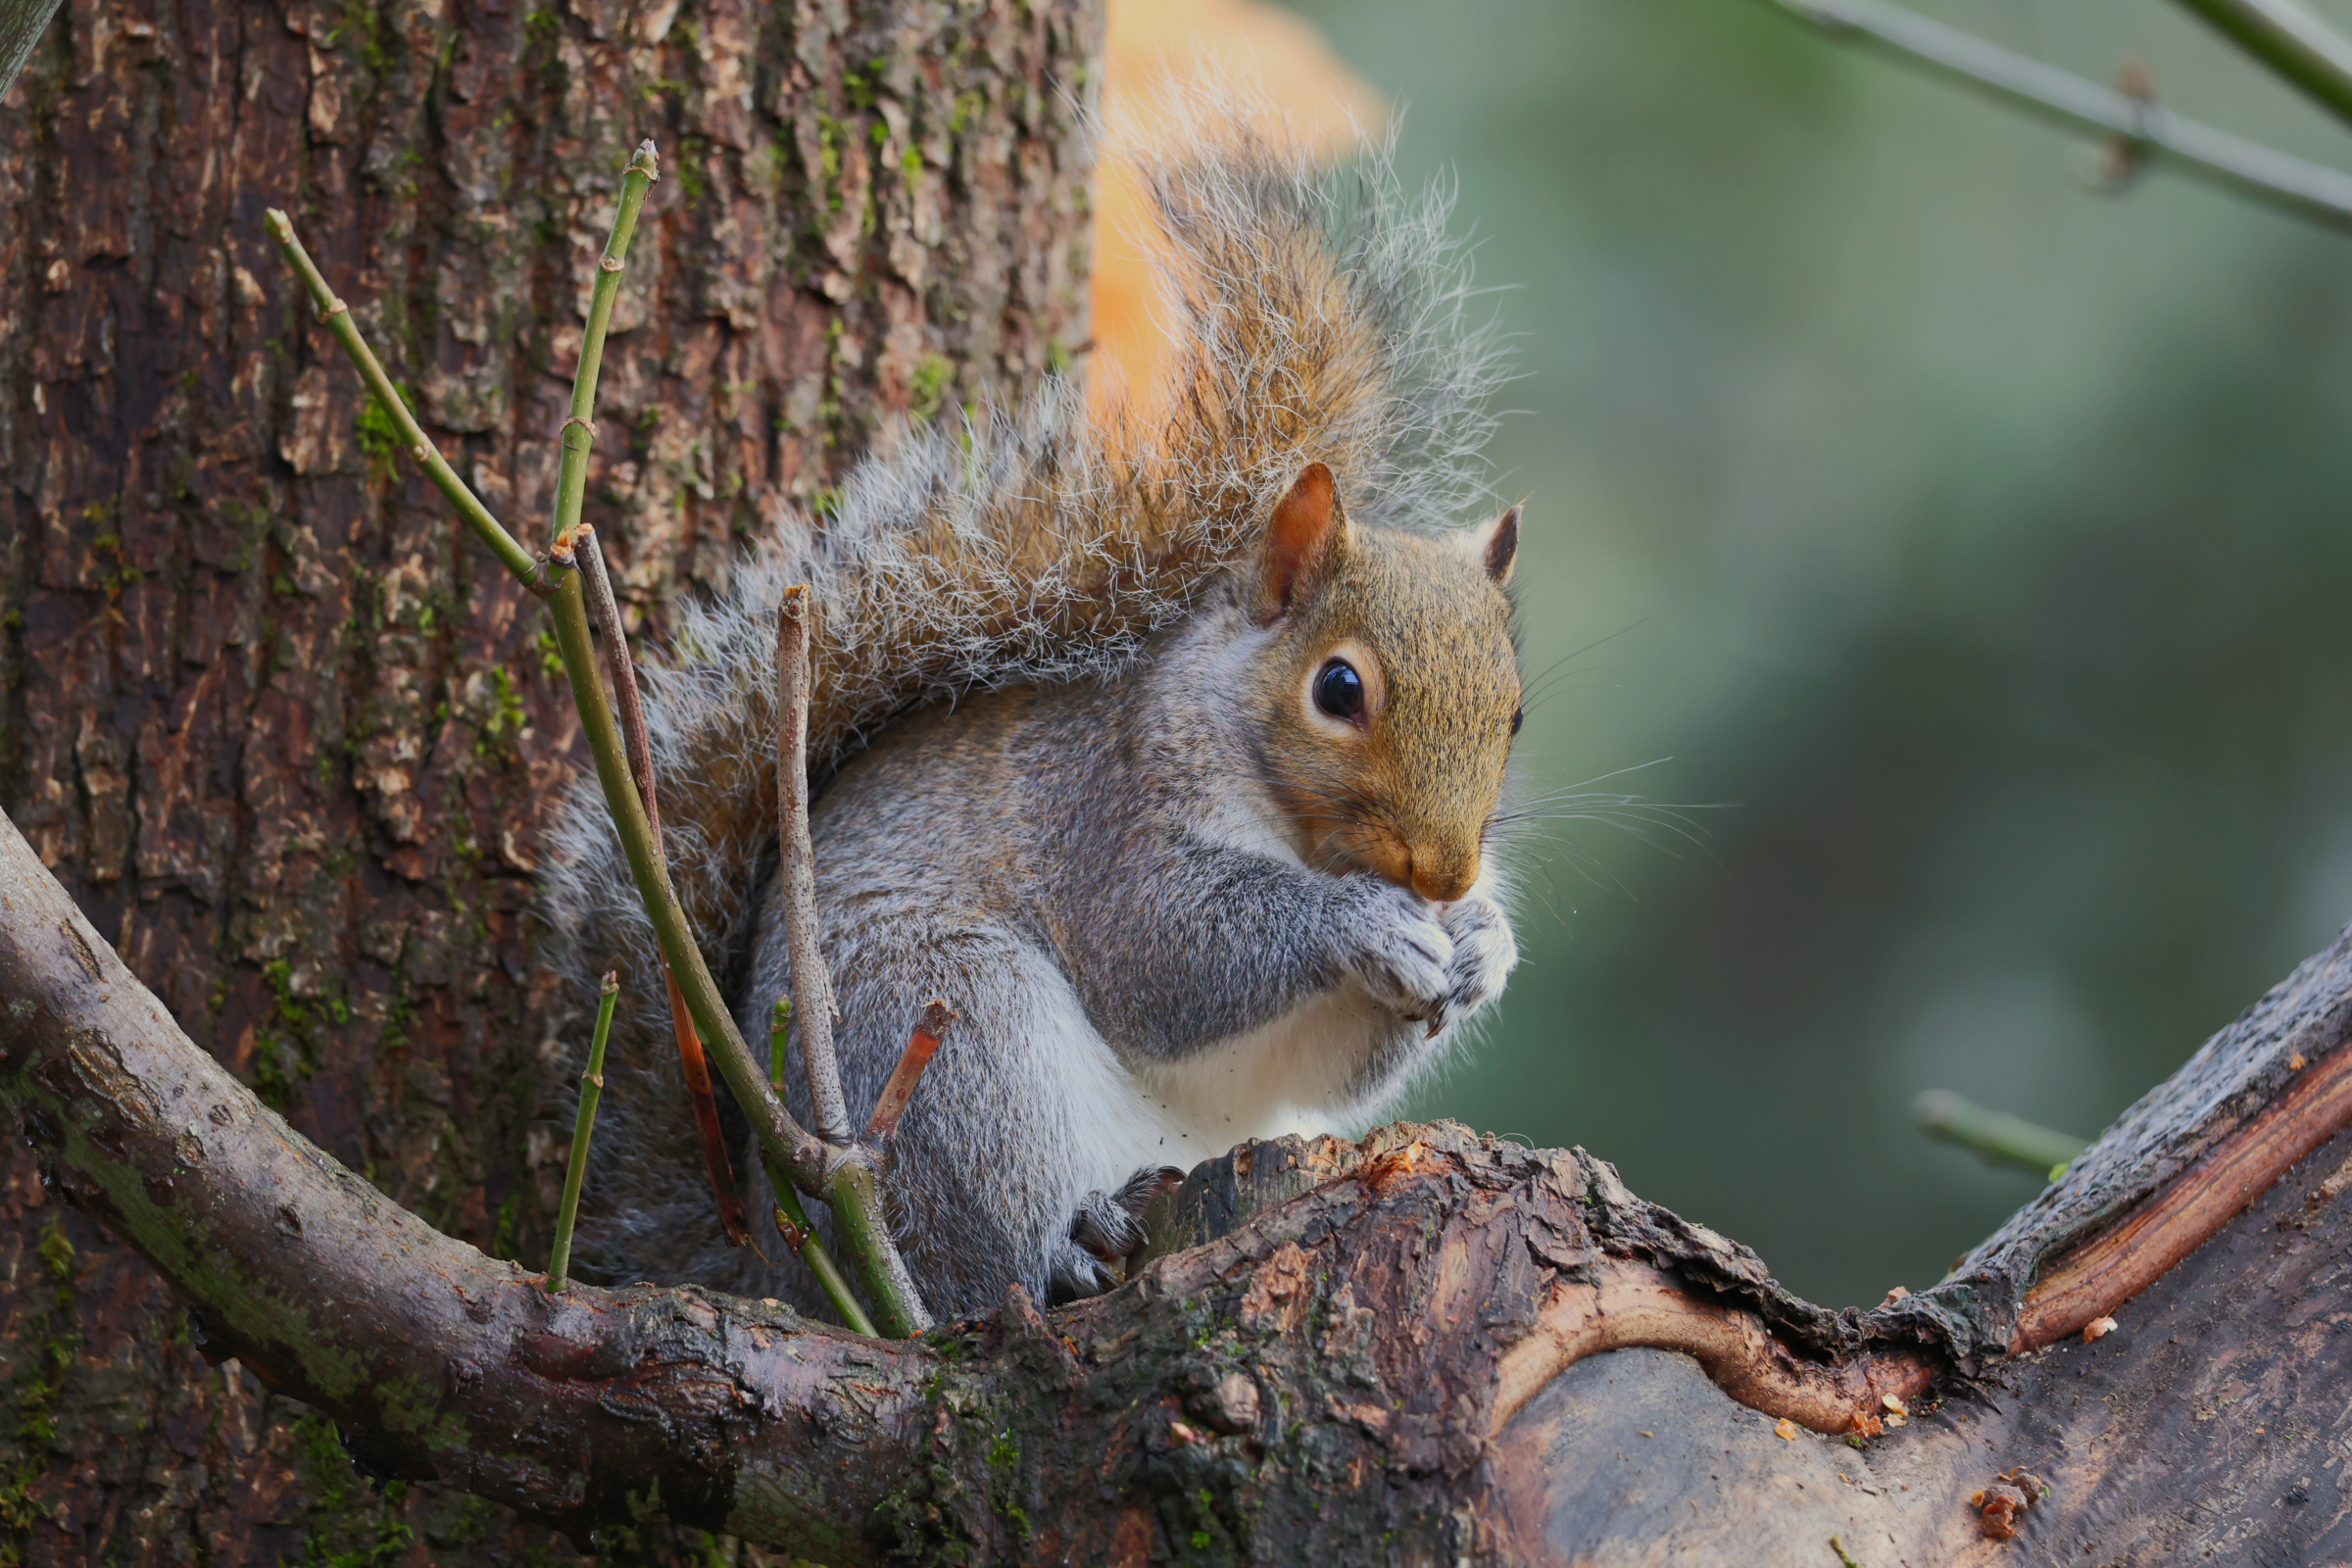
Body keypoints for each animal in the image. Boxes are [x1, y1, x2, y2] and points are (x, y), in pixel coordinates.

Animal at [542, 109, 1526, 1320]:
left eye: (1516, 714)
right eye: (1338, 690)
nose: (1444, 873)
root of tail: (780, 1262)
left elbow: (1314, 1062)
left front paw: (1482, 942)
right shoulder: (1104, 812)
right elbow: (1167, 954)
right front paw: (1362, 924)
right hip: (955, 1042)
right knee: (976, 1256)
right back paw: (1064, 1244)